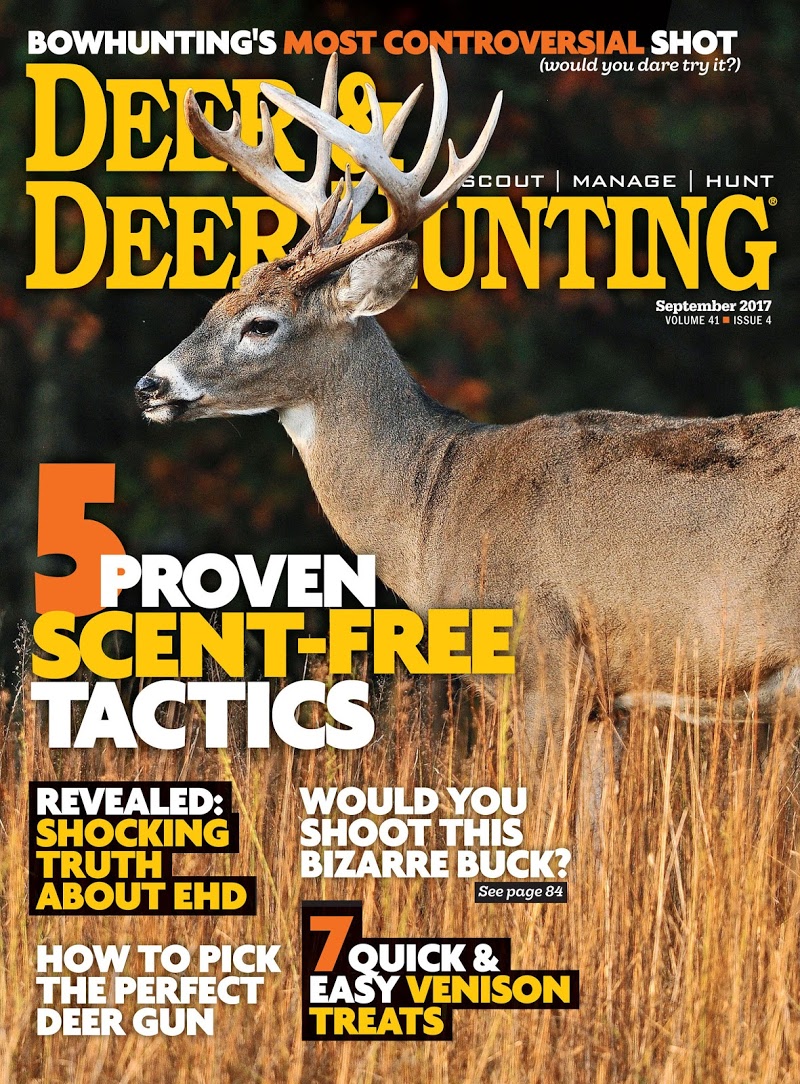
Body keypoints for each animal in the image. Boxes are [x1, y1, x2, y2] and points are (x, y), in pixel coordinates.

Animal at [135, 51, 800, 827]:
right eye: (219, 301)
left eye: (262, 324)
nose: (150, 386)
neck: (435, 505)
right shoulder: (606, 701)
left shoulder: (544, 668)